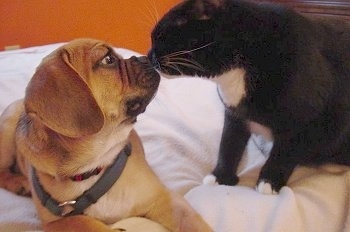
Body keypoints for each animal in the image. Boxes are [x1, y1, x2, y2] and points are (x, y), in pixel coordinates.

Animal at [0, 39, 212, 231]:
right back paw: (19, 183)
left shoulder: (164, 199)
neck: (94, 165)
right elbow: (89, 224)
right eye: (108, 59)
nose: (145, 58)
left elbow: (193, 224)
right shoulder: (59, 222)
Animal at [148, 0, 350, 193]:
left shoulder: (303, 120)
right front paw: (221, 176)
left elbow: (283, 153)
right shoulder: (234, 114)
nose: (149, 57)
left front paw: (269, 181)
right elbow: (229, 143)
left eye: (160, 36)